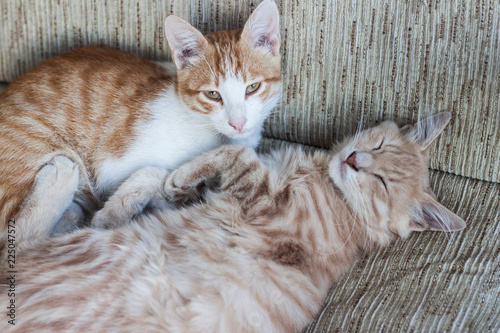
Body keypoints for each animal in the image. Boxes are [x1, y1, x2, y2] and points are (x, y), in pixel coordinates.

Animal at [0, 0, 282, 248]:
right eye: (213, 94)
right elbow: (153, 173)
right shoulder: (113, 164)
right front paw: (112, 213)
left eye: (252, 88)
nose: (238, 123)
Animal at [0, 113, 464, 330]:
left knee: (22, 240)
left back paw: (62, 178)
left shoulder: (266, 200)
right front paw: (169, 184)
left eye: (382, 183)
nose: (353, 160)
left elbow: (235, 152)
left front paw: (174, 177)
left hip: (94, 249)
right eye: (379, 144)